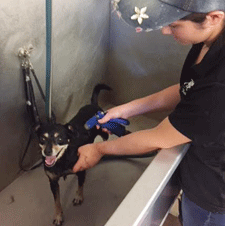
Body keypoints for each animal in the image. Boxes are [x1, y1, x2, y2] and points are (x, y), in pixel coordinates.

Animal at [35, 84, 111, 225]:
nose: (47, 152)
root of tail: (93, 104)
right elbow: (57, 201)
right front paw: (58, 216)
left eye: (59, 139)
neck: (62, 160)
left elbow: (80, 185)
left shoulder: (80, 172)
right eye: (42, 139)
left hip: (103, 131)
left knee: (106, 138)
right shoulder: (53, 181)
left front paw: (78, 197)